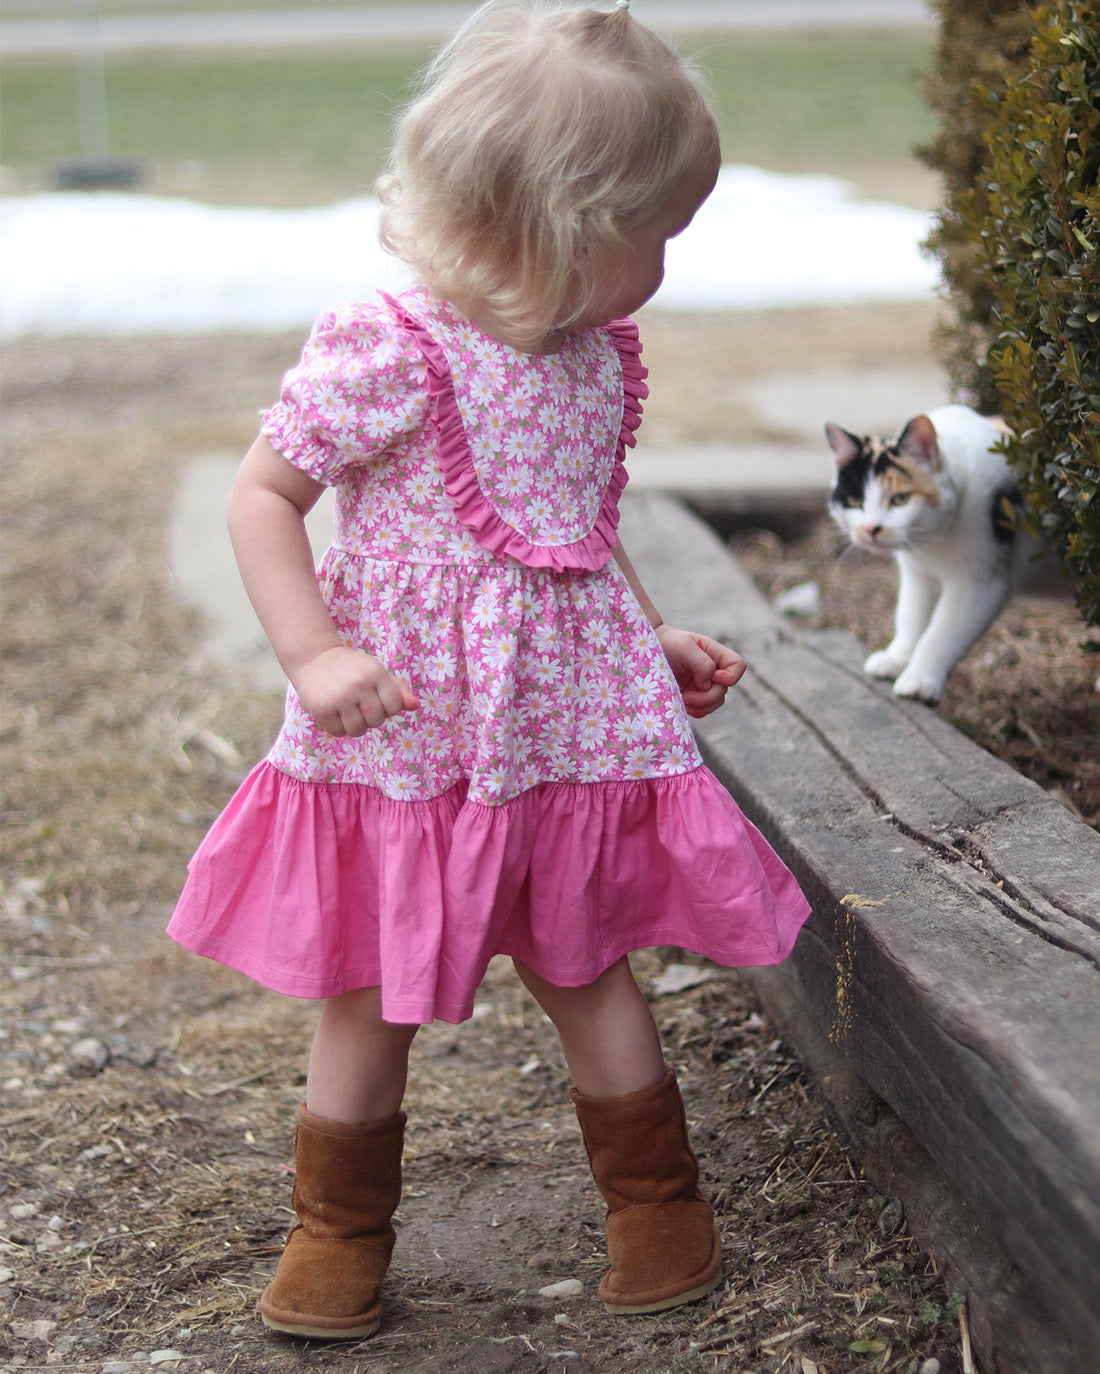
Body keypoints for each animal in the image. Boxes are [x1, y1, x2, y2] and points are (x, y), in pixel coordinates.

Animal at [823, 401, 1032, 703]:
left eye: (900, 499)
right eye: (854, 499)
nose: (872, 528)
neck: (934, 545)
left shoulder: (981, 585)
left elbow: (940, 634)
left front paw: (919, 680)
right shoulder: (918, 575)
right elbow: (910, 617)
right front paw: (896, 659)